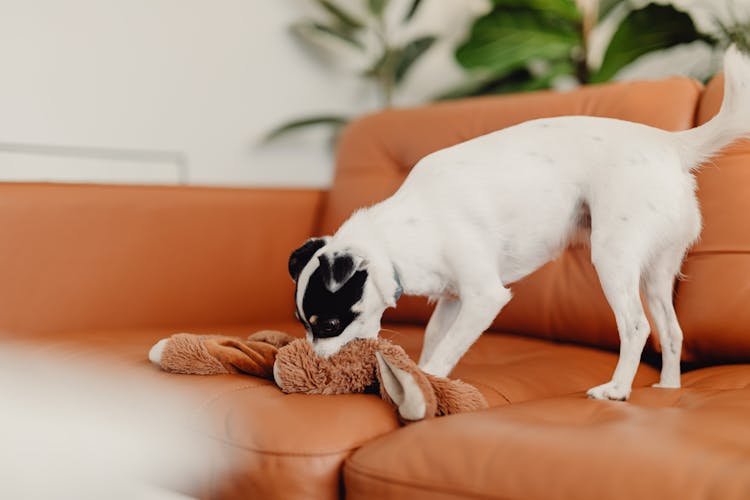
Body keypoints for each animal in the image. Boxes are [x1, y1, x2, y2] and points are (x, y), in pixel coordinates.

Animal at [290, 47, 750, 402]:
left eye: (328, 325)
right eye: (303, 325)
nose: (315, 367)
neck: (399, 235)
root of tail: (669, 143)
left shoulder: (484, 298)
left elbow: (444, 353)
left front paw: (429, 384)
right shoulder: (453, 301)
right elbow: (436, 339)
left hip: (613, 258)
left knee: (637, 328)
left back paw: (617, 390)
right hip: (657, 272)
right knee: (671, 332)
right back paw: (669, 388)